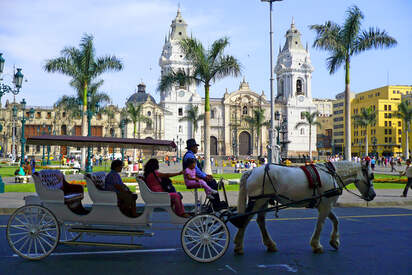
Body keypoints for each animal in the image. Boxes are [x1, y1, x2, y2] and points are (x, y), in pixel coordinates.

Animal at [233, 162, 374, 256]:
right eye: (371, 176)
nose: (373, 195)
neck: (332, 175)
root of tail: (251, 171)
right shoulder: (325, 205)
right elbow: (320, 225)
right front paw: (316, 245)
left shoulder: (326, 204)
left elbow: (335, 220)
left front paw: (334, 241)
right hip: (258, 201)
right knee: (245, 220)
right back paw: (239, 246)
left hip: (264, 201)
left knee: (260, 221)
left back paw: (270, 244)